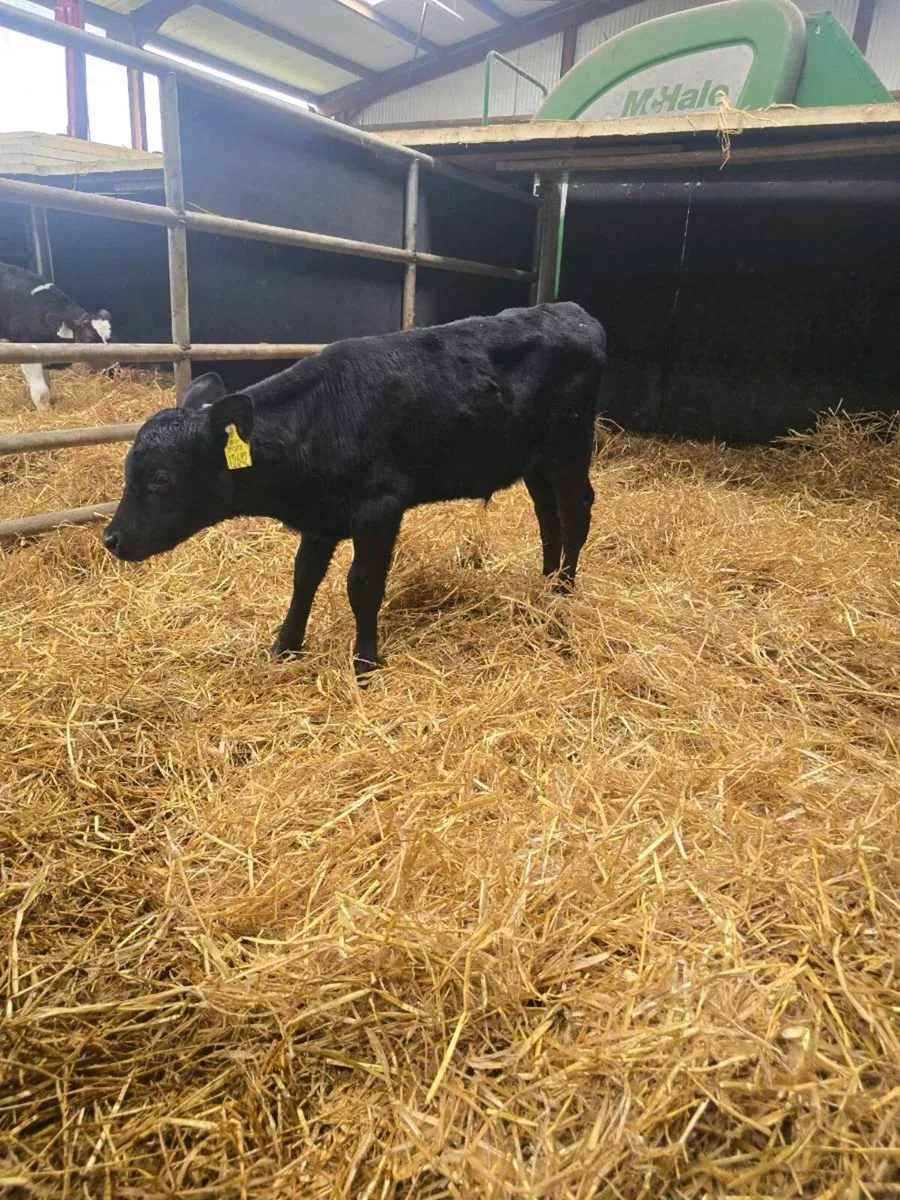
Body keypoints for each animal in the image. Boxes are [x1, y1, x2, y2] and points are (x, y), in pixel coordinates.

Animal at [0, 262, 111, 410]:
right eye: (89, 340)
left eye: (109, 338)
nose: (111, 364)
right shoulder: (27, 350)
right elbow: (41, 392)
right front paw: (45, 412)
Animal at [103, 302, 606, 680]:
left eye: (160, 477)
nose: (111, 538)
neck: (319, 421)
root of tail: (572, 311)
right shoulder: (321, 518)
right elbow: (303, 578)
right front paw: (285, 646)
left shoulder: (380, 508)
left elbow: (362, 584)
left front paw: (365, 661)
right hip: (535, 462)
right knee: (548, 519)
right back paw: (544, 583)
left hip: (570, 447)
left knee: (576, 512)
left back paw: (564, 590)